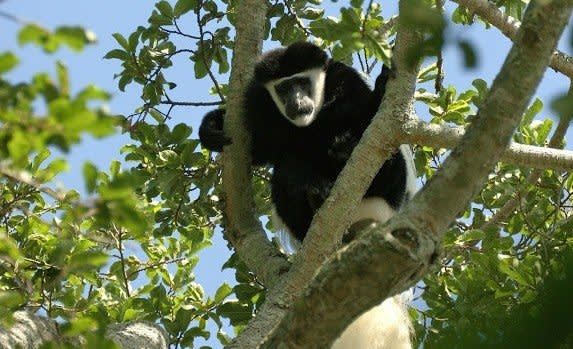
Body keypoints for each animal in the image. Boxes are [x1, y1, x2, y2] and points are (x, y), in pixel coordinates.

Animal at [200, 42, 416, 348]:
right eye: (283, 88)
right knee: (288, 167)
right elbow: (258, 151)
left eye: (302, 83)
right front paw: (211, 127)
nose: (296, 101)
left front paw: (383, 85)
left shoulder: (345, 82)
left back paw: (343, 150)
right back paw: (318, 195)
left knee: (386, 157)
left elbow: (369, 119)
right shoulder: (258, 104)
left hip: (389, 191)